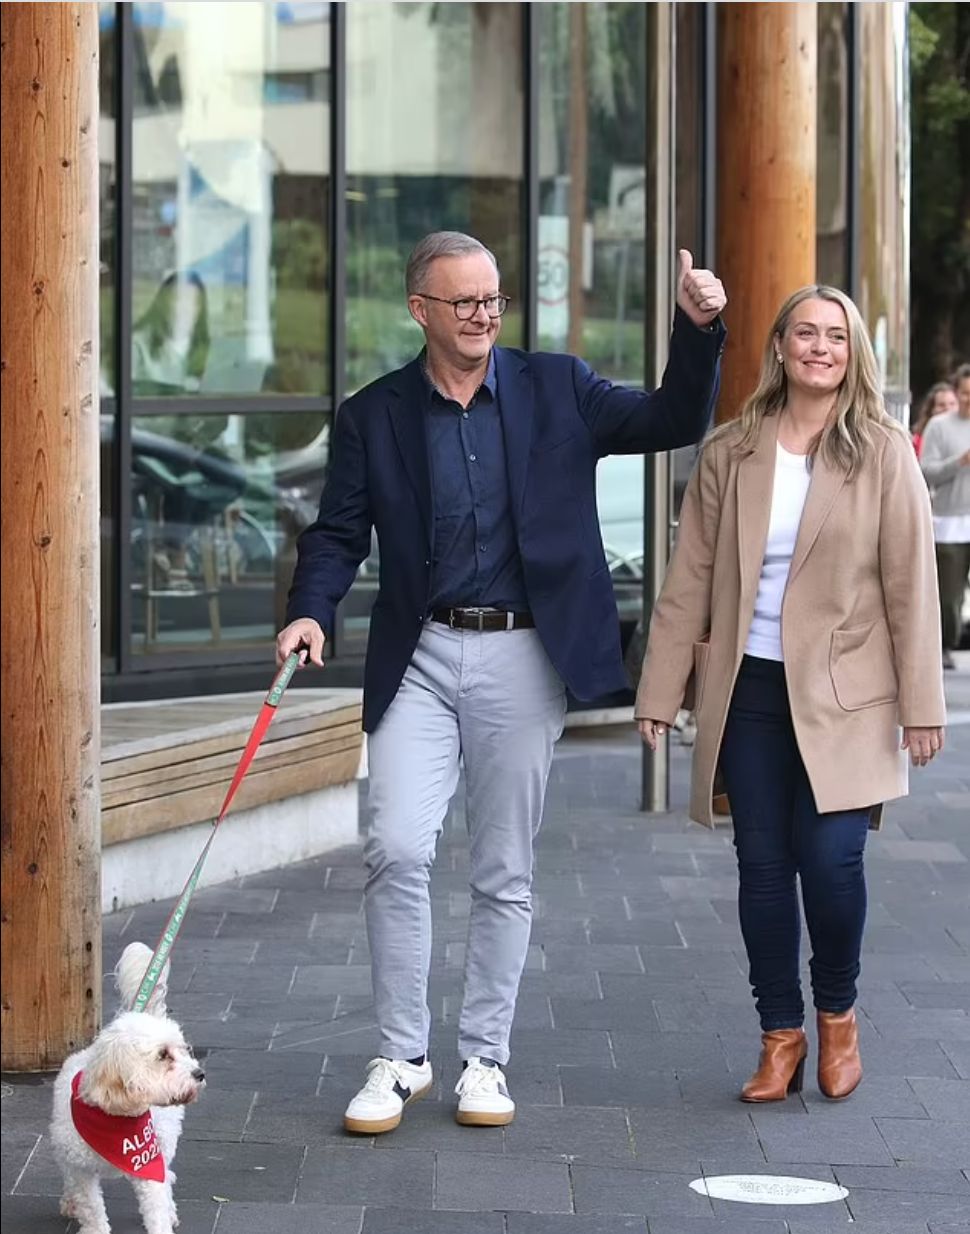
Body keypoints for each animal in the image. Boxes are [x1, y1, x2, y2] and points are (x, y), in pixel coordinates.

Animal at [49, 942, 205, 1234]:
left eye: (183, 1049)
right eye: (163, 1055)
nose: (199, 1074)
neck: (115, 1113)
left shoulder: (148, 1161)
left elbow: (156, 1201)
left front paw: (162, 1221)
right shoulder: (80, 1168)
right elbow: (90, 1205)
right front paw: (92, 1225)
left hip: (164, 1141)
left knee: (168, 1177)